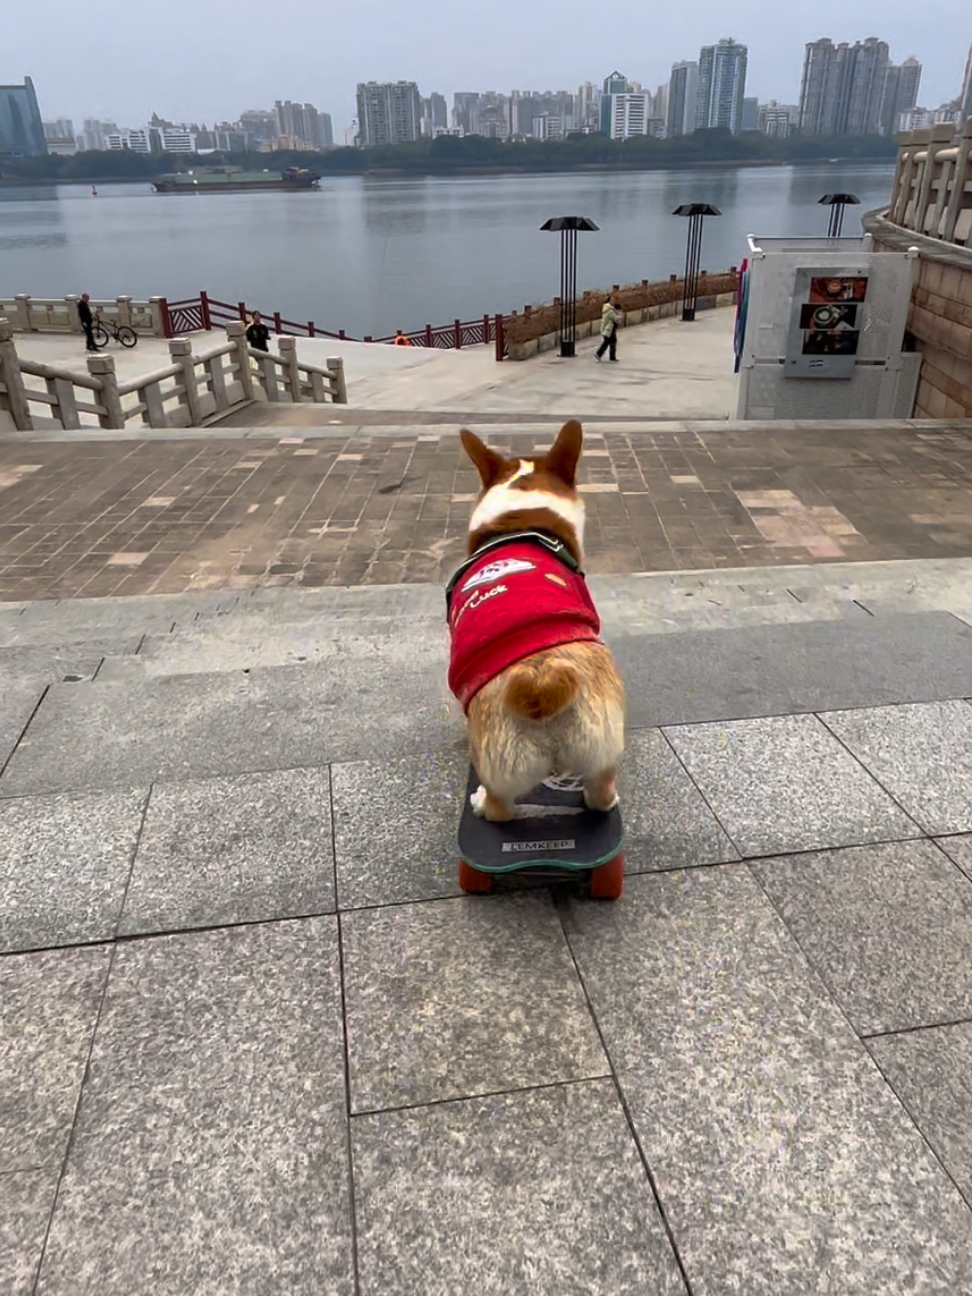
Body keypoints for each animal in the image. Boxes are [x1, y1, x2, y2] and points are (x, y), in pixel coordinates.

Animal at [448, 419, 627, 824]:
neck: (520, 518)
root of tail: (540, 683)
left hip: (496, 762)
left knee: (501, 809)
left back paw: (481, 803)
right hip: (601, 748)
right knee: (599, 793)